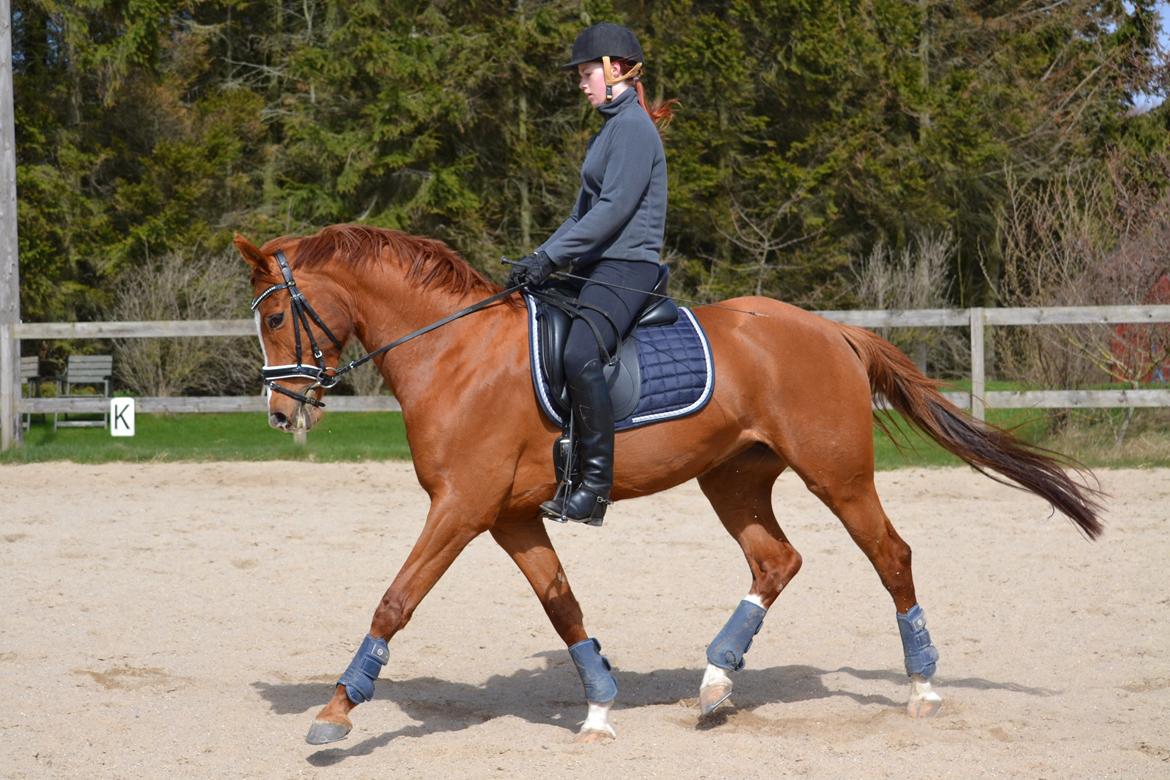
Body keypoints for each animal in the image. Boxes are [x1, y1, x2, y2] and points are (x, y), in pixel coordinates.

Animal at [235, 224, 1095, 743]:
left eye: (275, 316)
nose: (278, 412)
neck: (455, 353)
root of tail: (832, 330)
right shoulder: (509, 516)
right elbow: (563, 604)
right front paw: (598, 707)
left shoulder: (462, 506)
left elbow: (396, 598)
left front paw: (337, 710)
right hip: (733, 479)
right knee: (776, 561)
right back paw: (715, 682)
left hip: (838, 474)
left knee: (891, 555)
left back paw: (920, 687)